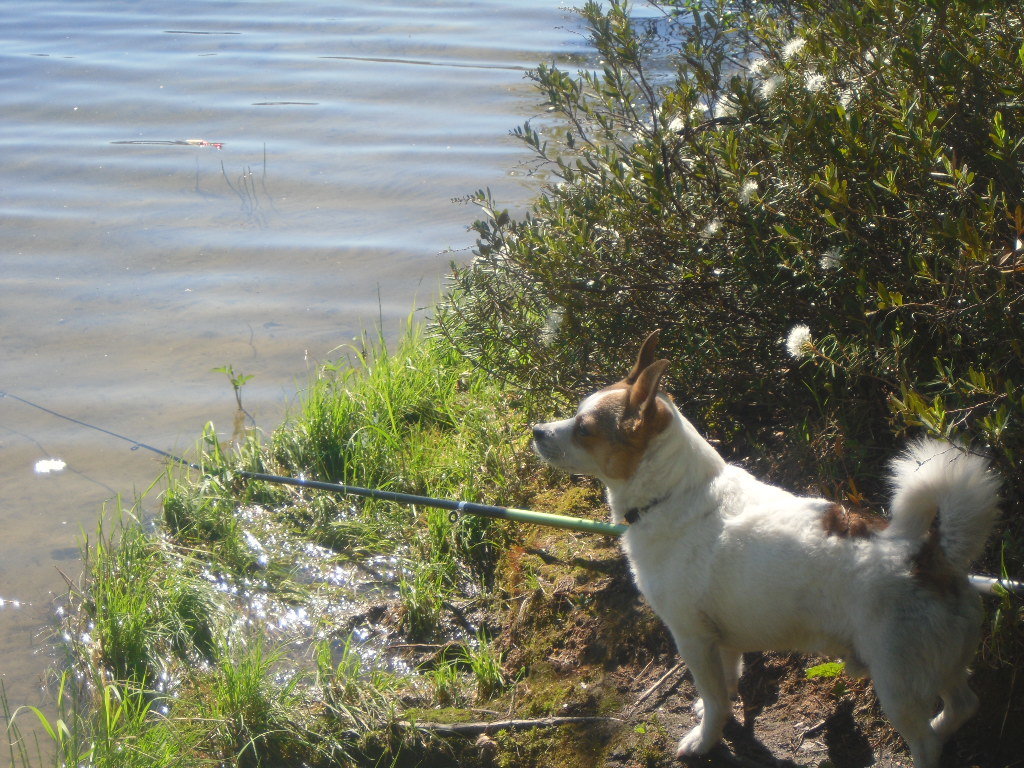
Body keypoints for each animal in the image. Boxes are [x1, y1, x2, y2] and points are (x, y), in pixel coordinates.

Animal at [536, 331, 999, 768]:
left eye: (584, 428)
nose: (536, 430)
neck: (674, 493)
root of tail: (929, 557)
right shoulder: (721, 641)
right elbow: (725, 688)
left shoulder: (692, 638)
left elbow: (717, 700)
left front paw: (705, 740)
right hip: (940, 665)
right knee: (964, 704)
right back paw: (944, 724)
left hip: (897, 684)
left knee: (926, 742)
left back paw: (930, 740)